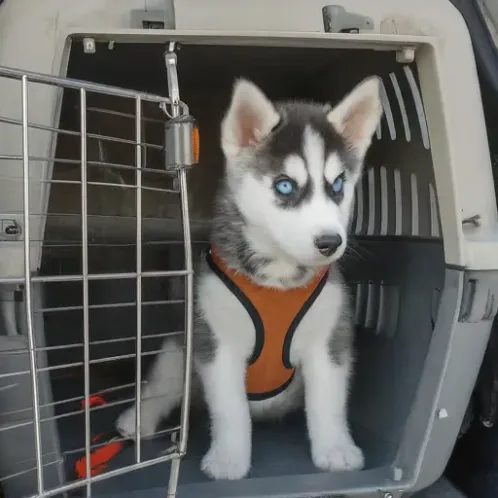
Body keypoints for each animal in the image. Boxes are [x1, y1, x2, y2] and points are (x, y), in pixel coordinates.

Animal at [116, 77, 382, 478]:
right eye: (285, 186)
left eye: (337, 185)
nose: (330, 242)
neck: (278, 279)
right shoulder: (217, 344)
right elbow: (230, 410)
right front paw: (228, 461)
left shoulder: (329, 342)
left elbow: (328, 405)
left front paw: (336, 450)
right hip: (180, 346)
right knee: (162, 385)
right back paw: (137, 421)